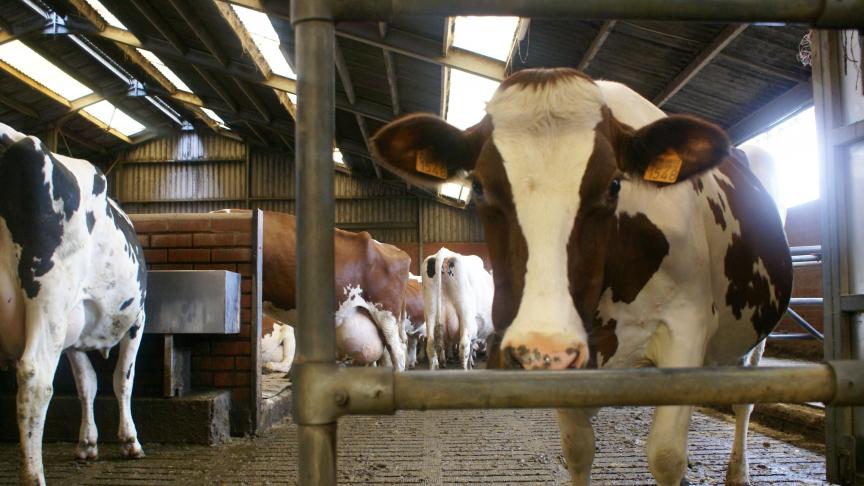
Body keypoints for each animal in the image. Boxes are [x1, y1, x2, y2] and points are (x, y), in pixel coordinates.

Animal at [0, 123, 147, 485]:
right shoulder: (138, 318)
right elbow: (122, 378)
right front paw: (129, 441)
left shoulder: (74, 336)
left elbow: (87, 384)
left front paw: (87, 444)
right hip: (50, 297)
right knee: (35, 380)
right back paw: (33, 475)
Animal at [371, 68, 792, 486]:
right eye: (478, 186)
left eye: (615, 185)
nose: (541, 350)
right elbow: (578, 449)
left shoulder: (686, 328)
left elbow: (667, 456)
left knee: (744, 399)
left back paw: (738, 472)